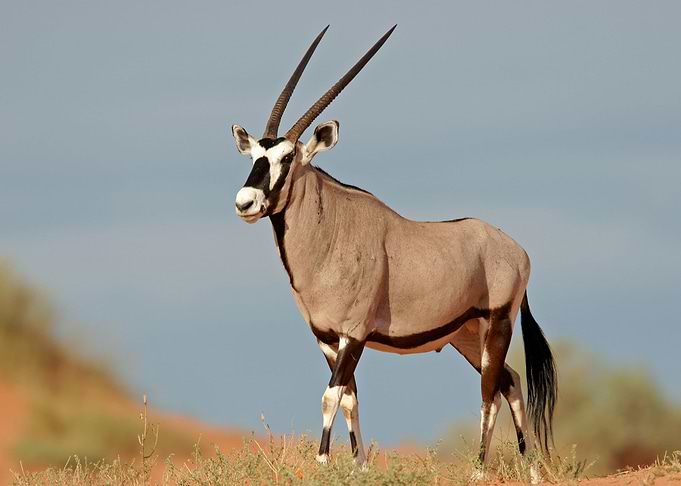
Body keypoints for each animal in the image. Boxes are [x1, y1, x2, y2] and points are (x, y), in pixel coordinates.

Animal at [230, 25, 557, 478]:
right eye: (255, 156)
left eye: (289, 156)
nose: (245, 202)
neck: (331, 232)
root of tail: (514, 248)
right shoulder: (326, 338)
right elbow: (349, 397)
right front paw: (359, 466)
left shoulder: (355, 332)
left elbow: (330, 396)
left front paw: (323, 462)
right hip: (467, 335)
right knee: (510, 381)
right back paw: (531, 470)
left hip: (497, 324)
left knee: (490, 390)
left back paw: (479, 470)